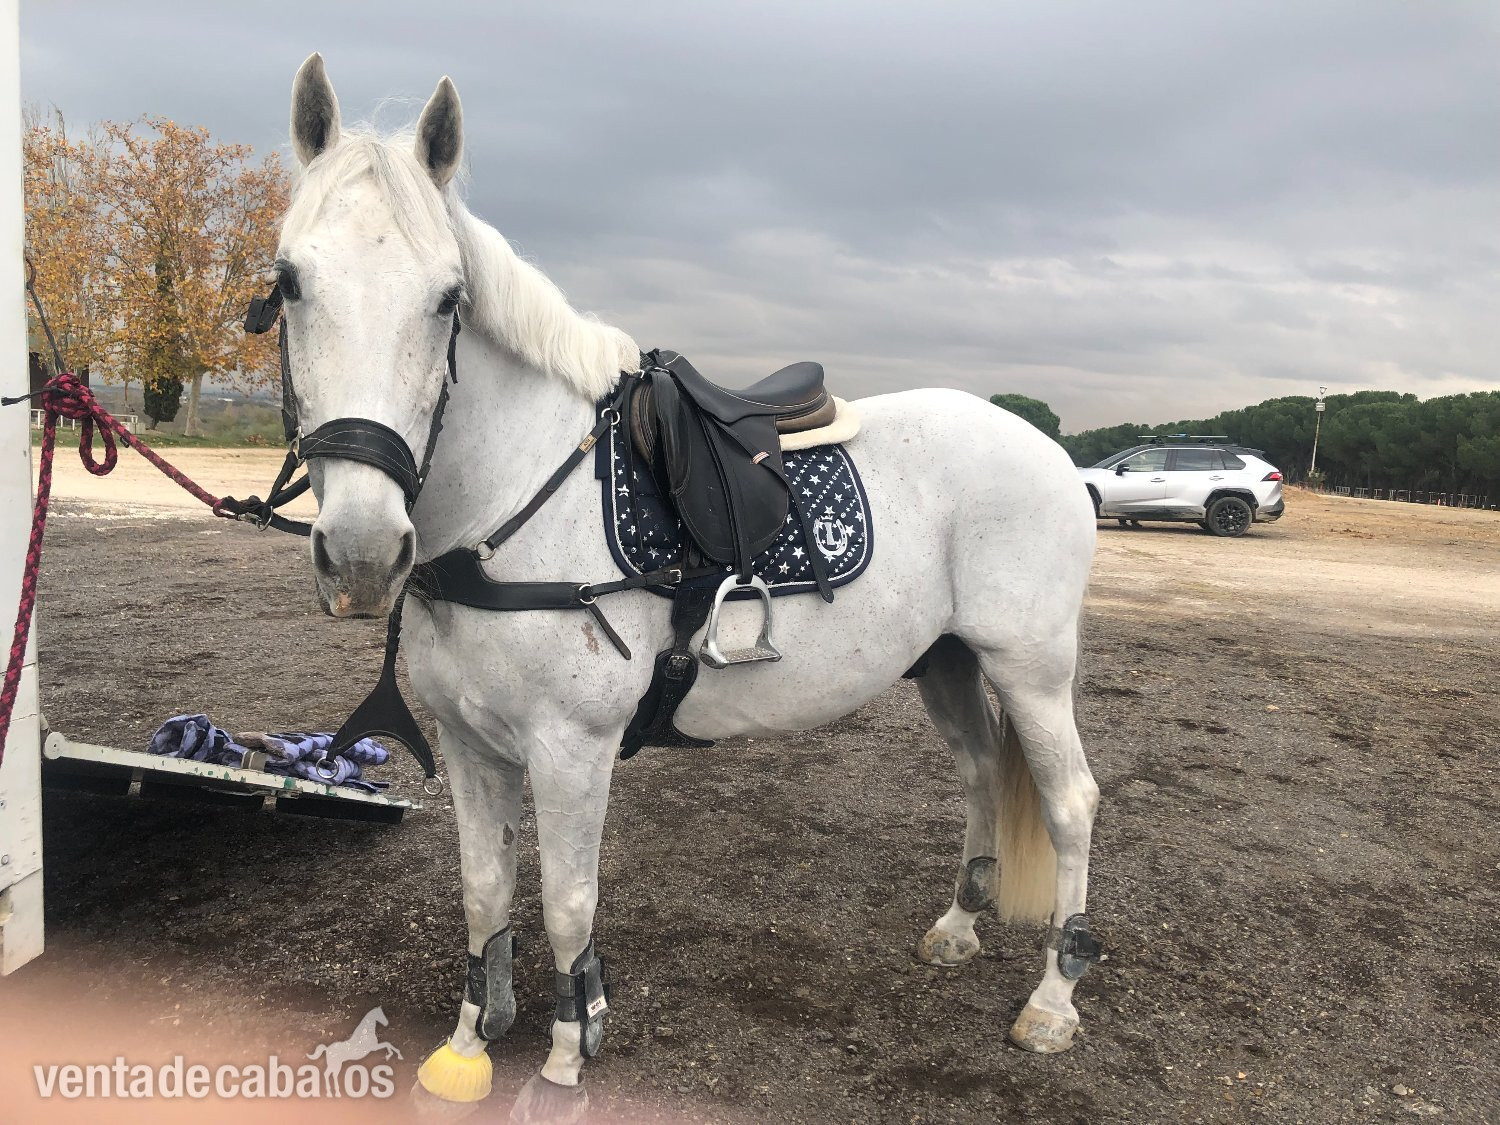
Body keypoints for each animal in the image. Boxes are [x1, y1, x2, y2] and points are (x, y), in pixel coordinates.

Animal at [277, 53, 1100, 1121]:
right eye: (288, 283)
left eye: (448, 299)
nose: (365, 552)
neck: (511, 502)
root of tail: (1048, 448)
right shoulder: (468, 742)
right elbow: (483, 890)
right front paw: (467, 1042)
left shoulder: (571, 748)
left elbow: (568, 902)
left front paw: (565, 1057)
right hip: (948, 663)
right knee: (979, 776)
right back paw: (959, 927)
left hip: (1030, 666)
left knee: (1070, 802)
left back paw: (1052, 1000)